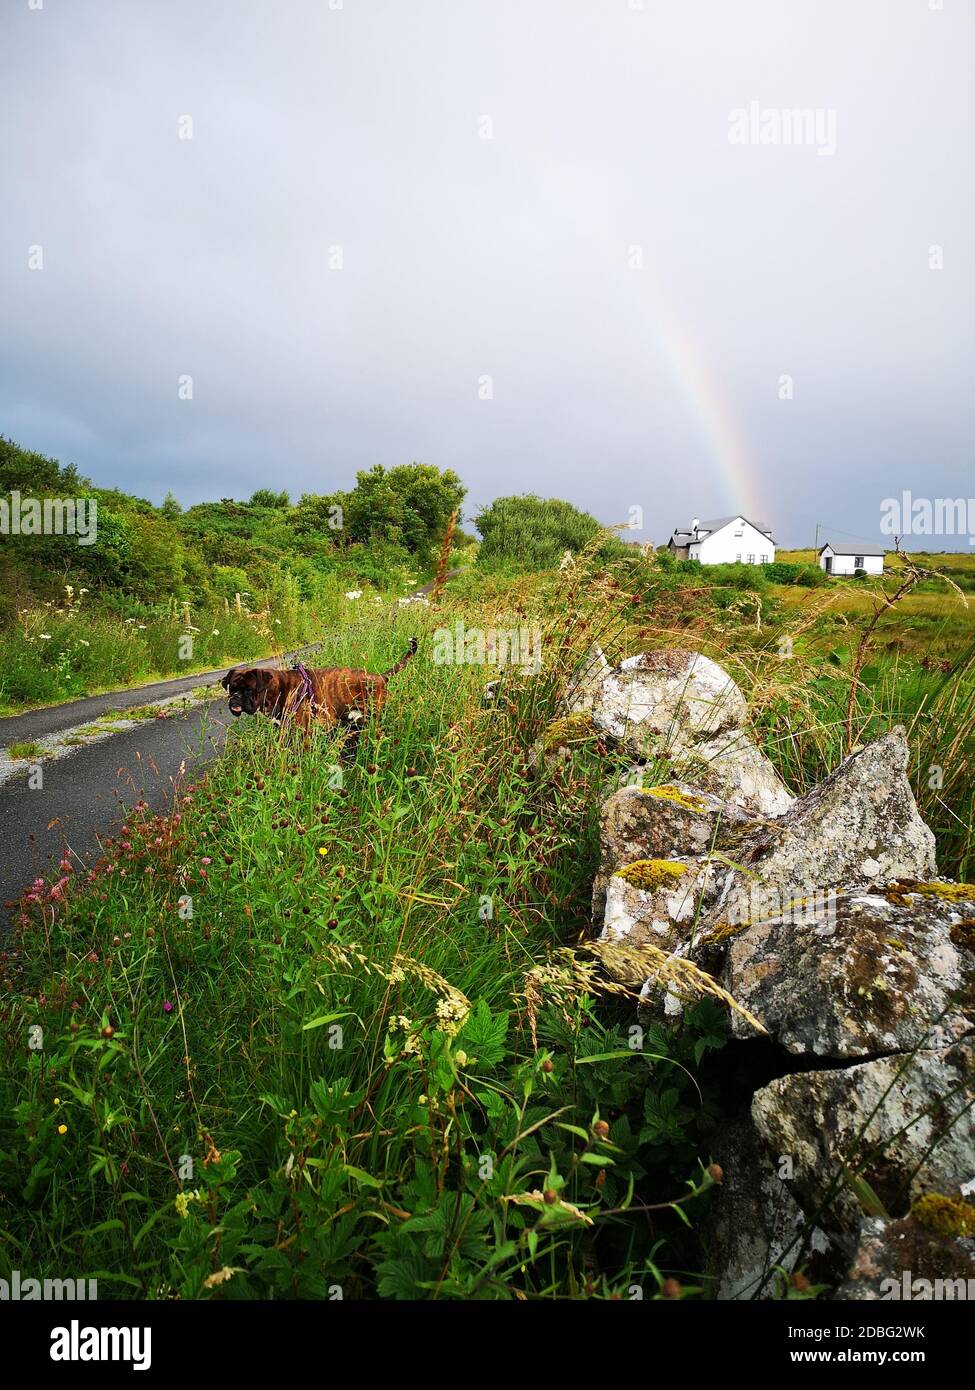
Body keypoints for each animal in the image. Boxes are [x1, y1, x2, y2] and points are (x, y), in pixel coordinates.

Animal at [221, 639, 414, 750]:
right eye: (231, 689)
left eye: (249, 690)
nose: (235, 697)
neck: (280, 688)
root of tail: (380, 677)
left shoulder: (304, 732)